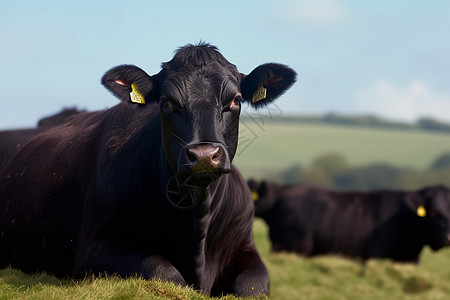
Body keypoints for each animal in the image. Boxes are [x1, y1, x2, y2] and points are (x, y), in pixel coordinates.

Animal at [0, 43, 298, 296]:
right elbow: (165, 274)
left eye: (235, 100)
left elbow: (251, 285)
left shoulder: (245, 247)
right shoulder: (95, 248)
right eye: (167, 102)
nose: (203, 155)